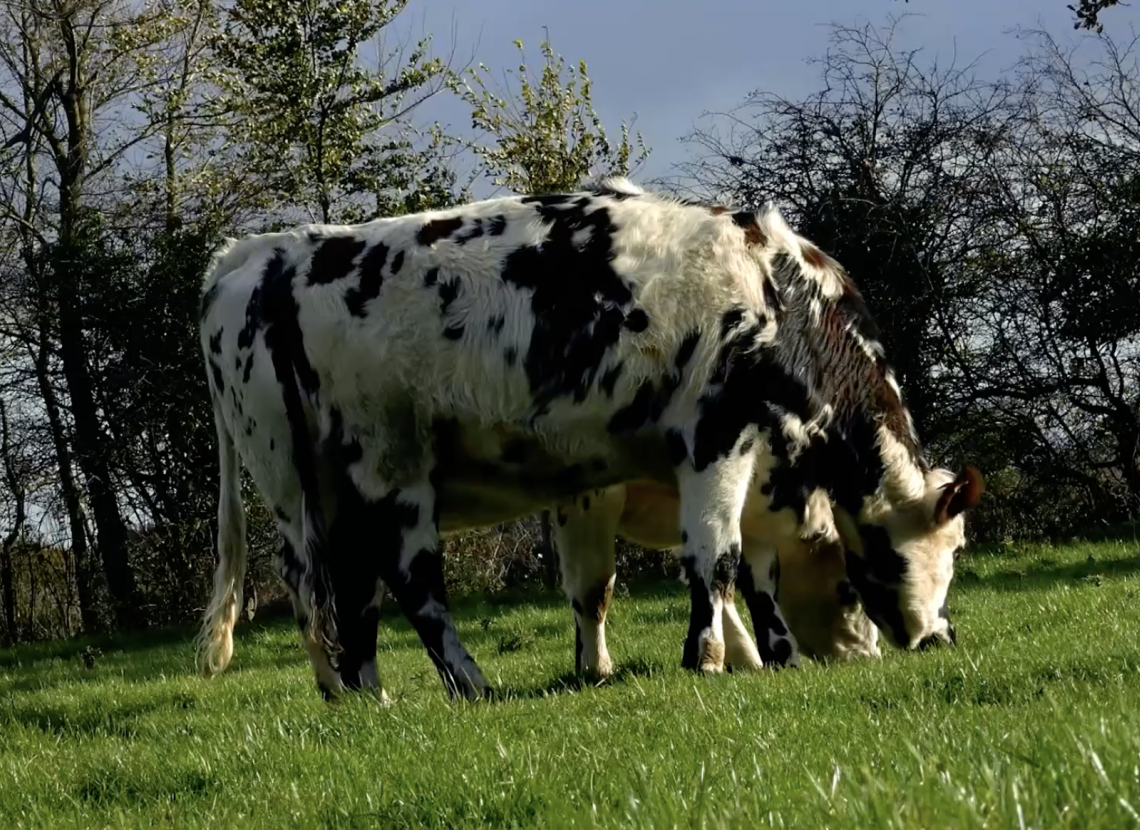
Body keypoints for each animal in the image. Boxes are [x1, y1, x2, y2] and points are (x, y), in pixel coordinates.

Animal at [195, 177, 982, 701]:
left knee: (350, 589)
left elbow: (739, 571)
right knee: (400, 583)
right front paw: (706, 657)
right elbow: (715, 557)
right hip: (384, 470)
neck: (776, 294)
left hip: (326, 485)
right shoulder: (714, 435)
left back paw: (367, 694)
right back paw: (463, 684)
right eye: (944, 550)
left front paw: (770, 654)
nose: (936, 638)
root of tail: (263, 253)